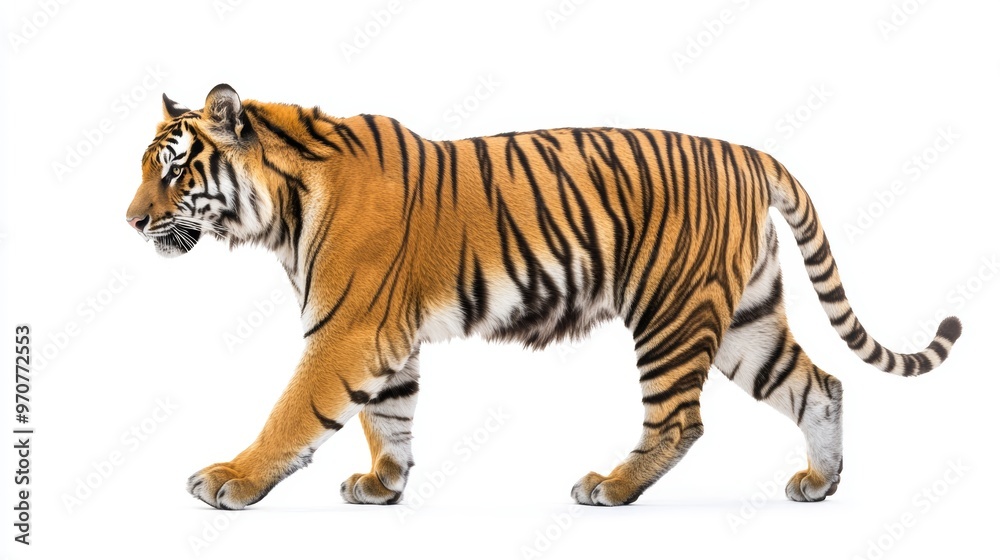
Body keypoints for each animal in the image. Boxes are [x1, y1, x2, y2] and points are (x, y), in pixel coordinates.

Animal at [125, 84, 962, 510]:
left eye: (173, 170)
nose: (130, 221)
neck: (282, 208)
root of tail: (748, 153)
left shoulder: (347, 331)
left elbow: (295, 412)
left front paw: (230, 479)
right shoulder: (386, 337)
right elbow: (388, 416)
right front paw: (383, 484)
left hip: (670, 313)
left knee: (681, 421)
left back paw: (611, 487)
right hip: (743, 322)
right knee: (820, 384)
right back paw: (821, 482)